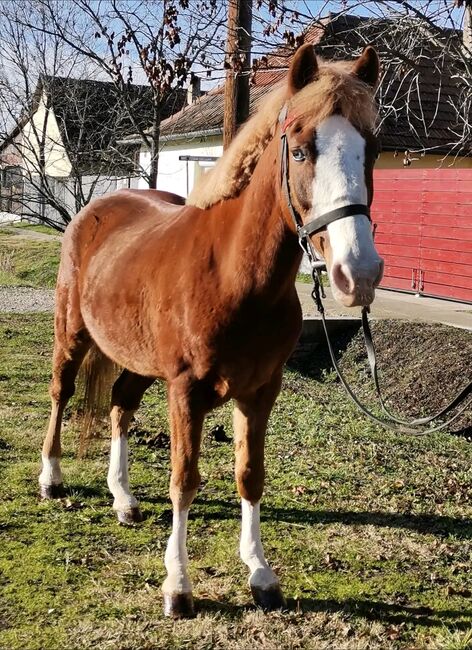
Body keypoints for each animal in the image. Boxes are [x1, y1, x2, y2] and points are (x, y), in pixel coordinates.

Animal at [37, 44, 384, 612]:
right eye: (300, 152)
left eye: (371, 151)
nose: (359, 274)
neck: (233, 279)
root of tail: (94, 209)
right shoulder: (185, 391)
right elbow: (184, 480)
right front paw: (178, 586)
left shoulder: (260, 392)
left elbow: (250, 475)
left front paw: (260, 572)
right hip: (72, 335)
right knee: (62, 393)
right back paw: (52, 478)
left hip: (141, 362)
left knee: (120, 405)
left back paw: (123, 498)